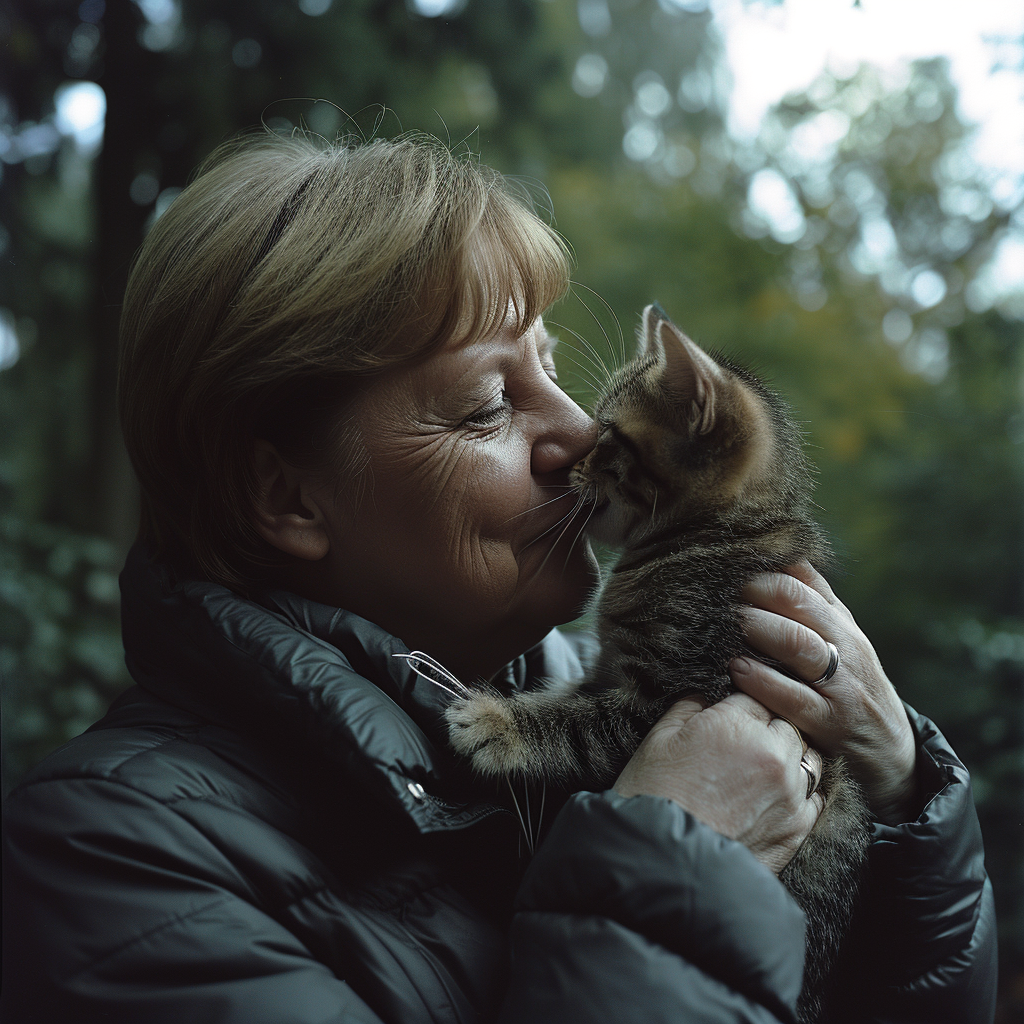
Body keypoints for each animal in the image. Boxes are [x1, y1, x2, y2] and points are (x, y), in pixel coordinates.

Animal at [444, 305, 868, 1024]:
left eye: (609, 434)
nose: (566, 467)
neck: (710, 538)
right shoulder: (609, 672)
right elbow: (572, 701)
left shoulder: (679, 689)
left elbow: (576, 724)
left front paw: (499, 723)